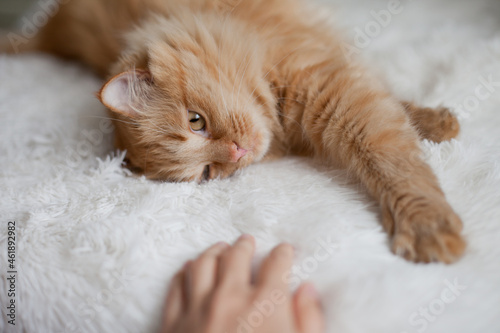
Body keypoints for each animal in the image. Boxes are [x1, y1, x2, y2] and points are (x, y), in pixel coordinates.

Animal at [6, 0, 464, 262]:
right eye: (207, 174)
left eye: (196, 121)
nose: (238, 153)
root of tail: (50, 31)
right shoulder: (337, 91)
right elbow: (391, 129)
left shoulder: (333, 87)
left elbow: (391, 154)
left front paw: (428, 222)